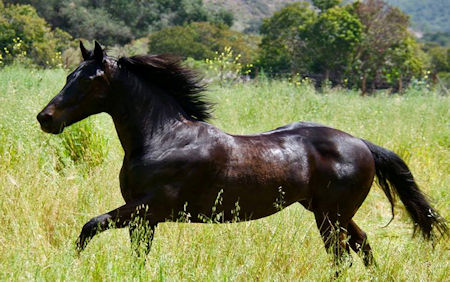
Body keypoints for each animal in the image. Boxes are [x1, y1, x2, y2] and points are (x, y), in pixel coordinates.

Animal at [36, 41, 446, 266]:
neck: (163, 138)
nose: (46, 118)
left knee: (342, 257)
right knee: (364, 247)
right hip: (332, 214)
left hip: (331, 217)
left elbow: (89, 226)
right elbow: (136, 256)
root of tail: (362, 143)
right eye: (69, 75)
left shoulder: (150, 208)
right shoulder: (143, 218)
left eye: (88, 79)